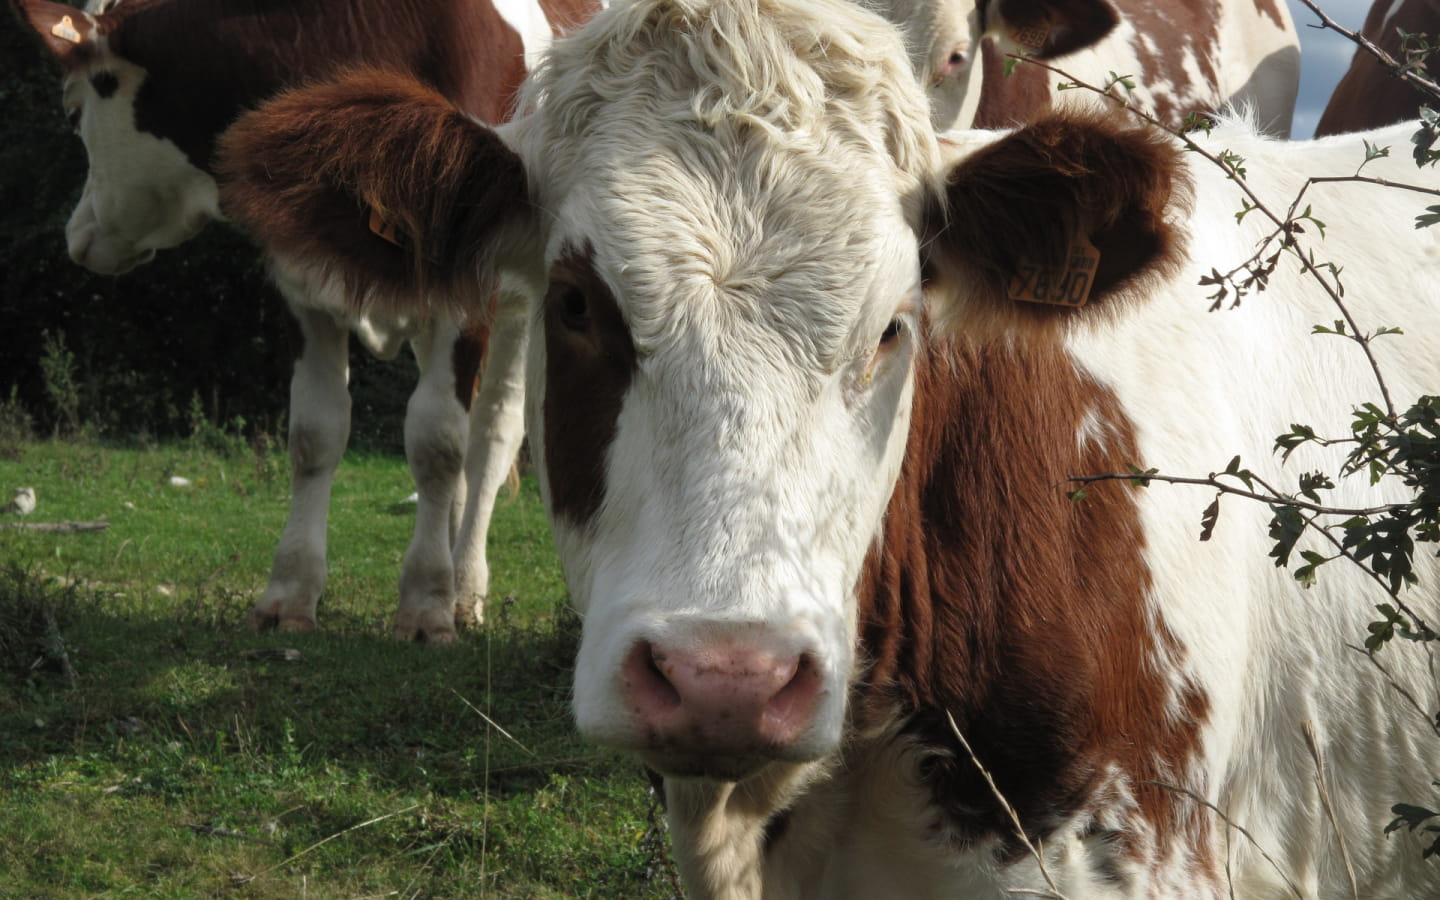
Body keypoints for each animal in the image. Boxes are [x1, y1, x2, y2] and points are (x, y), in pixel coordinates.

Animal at [12, 1, 596, 645]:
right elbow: (315, 433)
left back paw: (463, 587)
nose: (79, 234)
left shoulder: (465, 289)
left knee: (492, 434)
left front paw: (425, 603)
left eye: (73, 113)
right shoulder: (300, 274)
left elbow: (438, 442)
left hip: (517, 308)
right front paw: (290, 594)